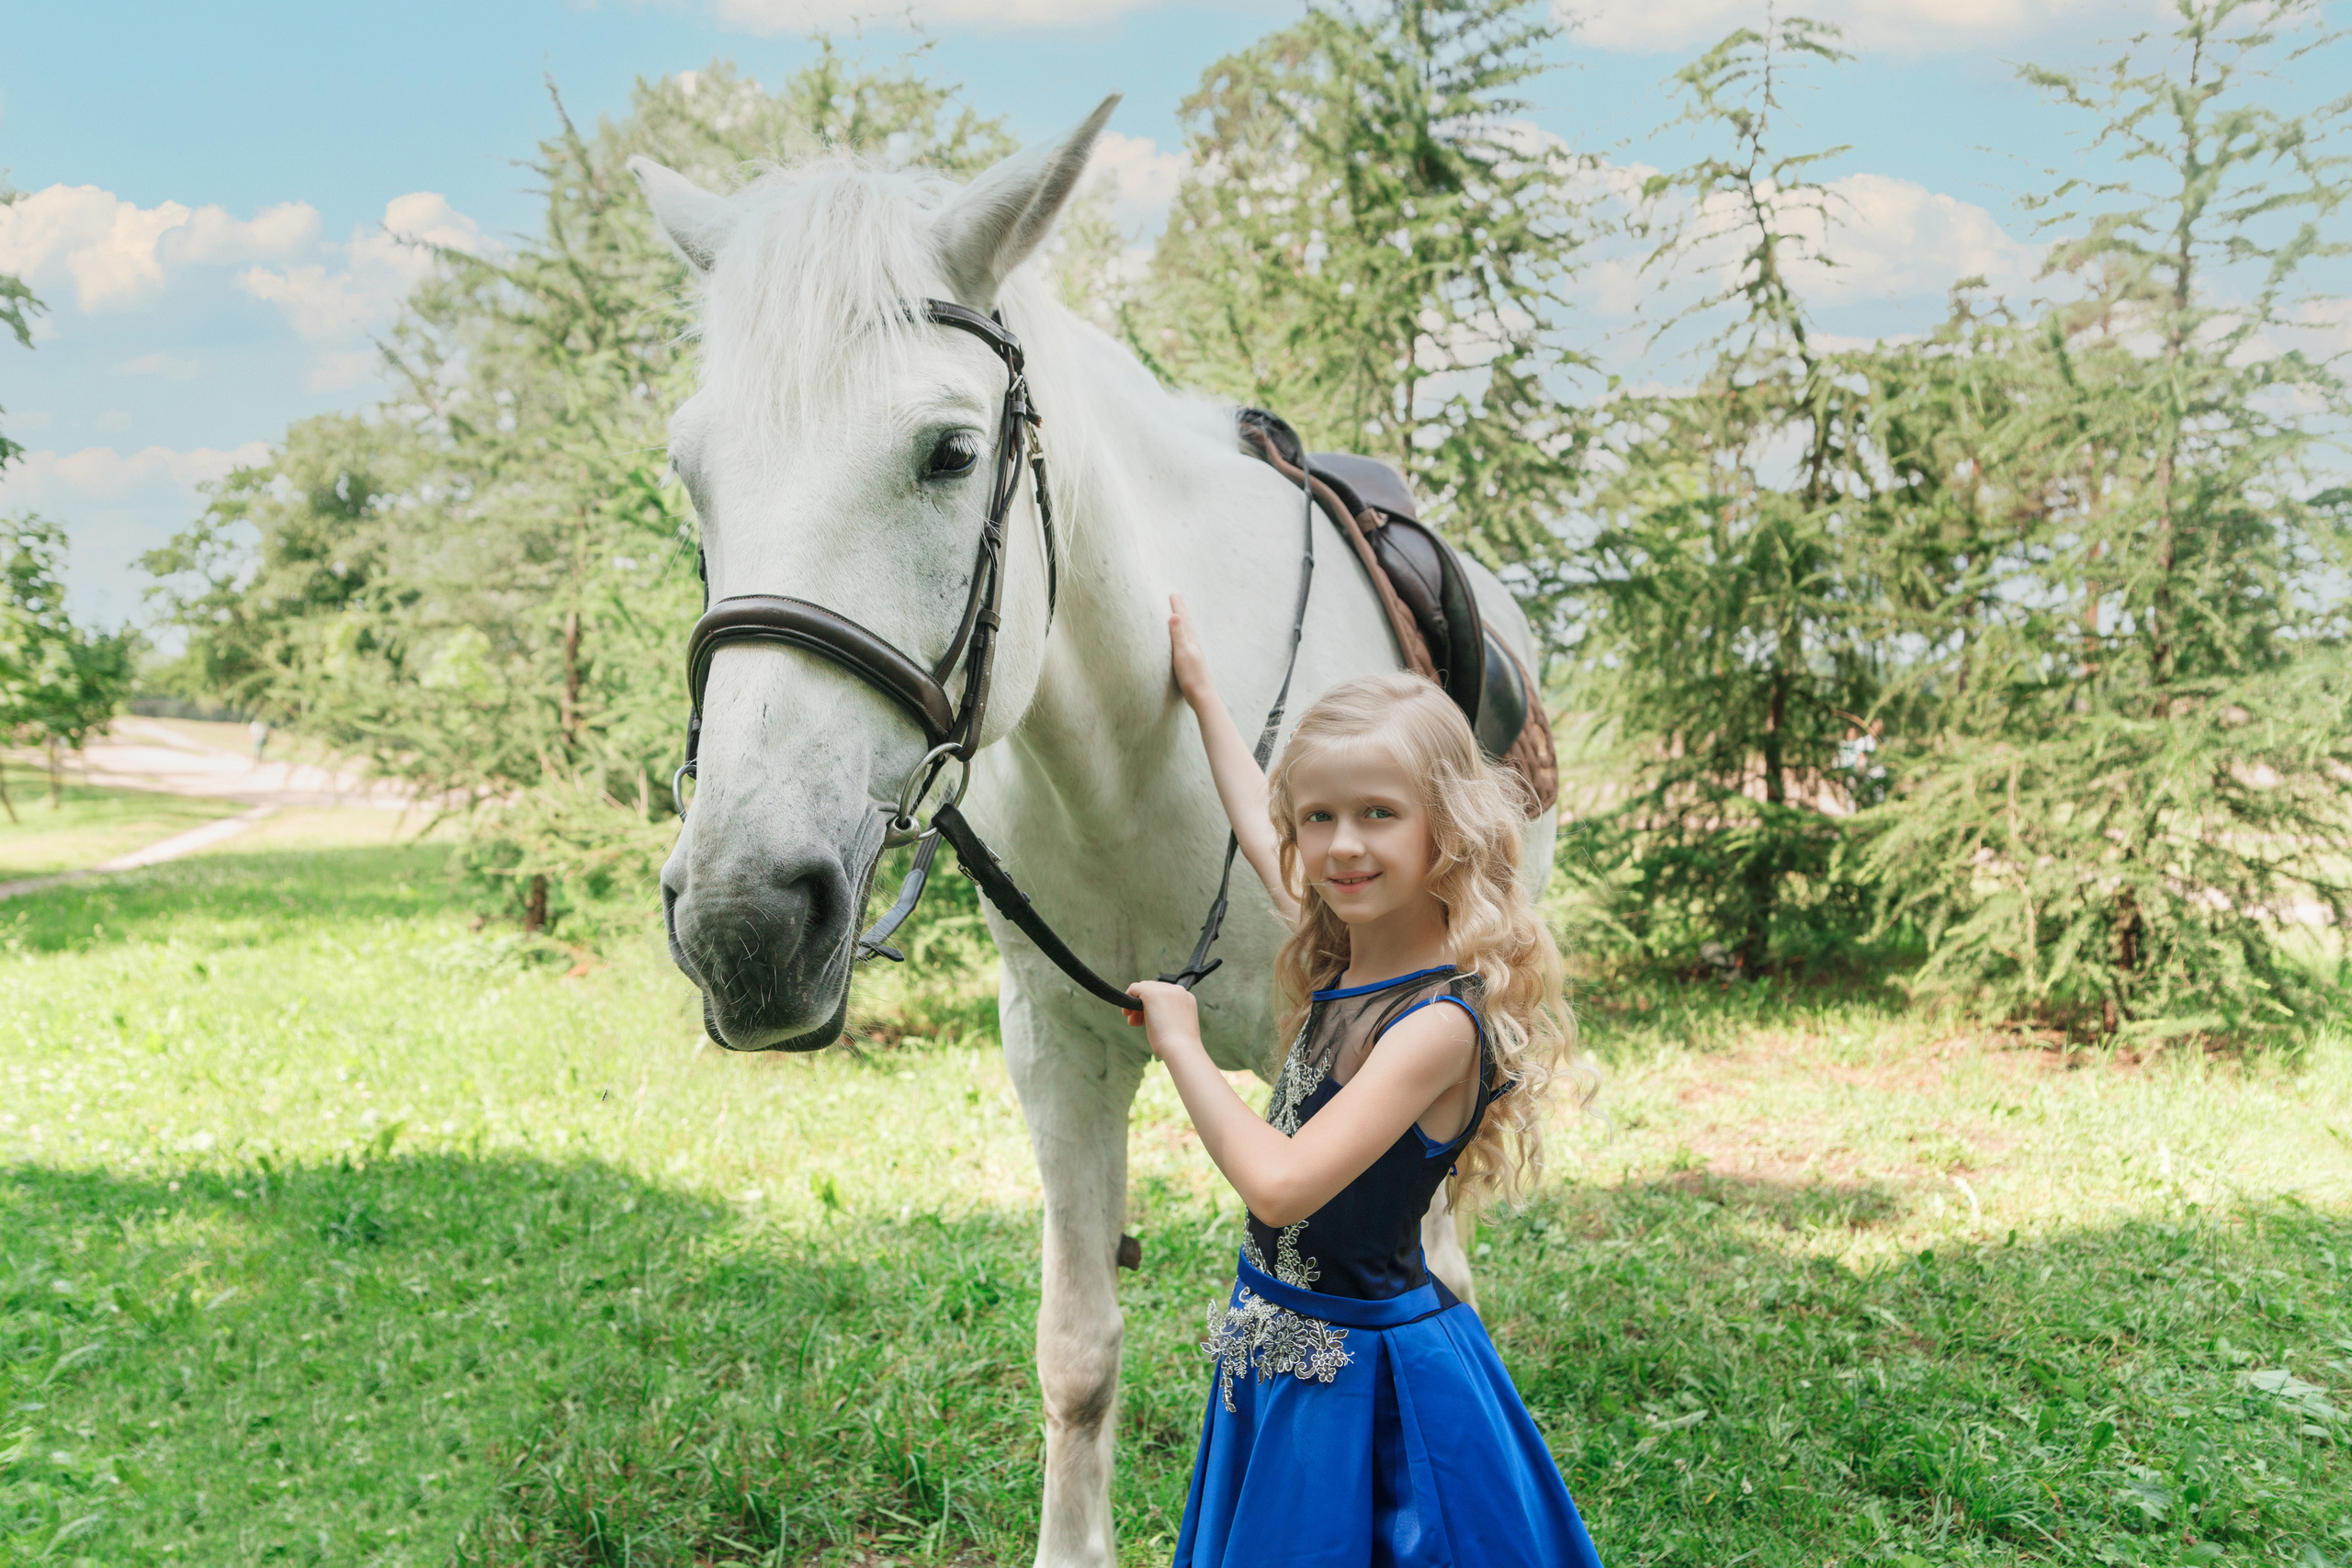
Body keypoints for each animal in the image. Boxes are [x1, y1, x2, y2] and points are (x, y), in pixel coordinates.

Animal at [633, 97, 1557, 1567]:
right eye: (691, 472)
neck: (1136, 752)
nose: (746, 922)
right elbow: (1076, 1352)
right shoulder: (1057, 1048)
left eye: (950, 453)